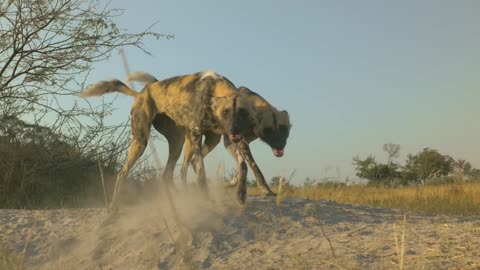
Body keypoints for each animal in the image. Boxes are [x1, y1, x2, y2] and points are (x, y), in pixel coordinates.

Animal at [80, 70, 256, 210]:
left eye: (245, 114)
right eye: (227, 112)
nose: (236, 131)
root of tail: (141, 93)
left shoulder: (225, 139)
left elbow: (243, 165)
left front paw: (241, 192)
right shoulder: (198, 135)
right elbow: (202, 174)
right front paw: (207, 199)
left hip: (183, 142)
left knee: (172, 173)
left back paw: (182, 197)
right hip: (142, 142)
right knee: (123, 174)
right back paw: (113, 206)